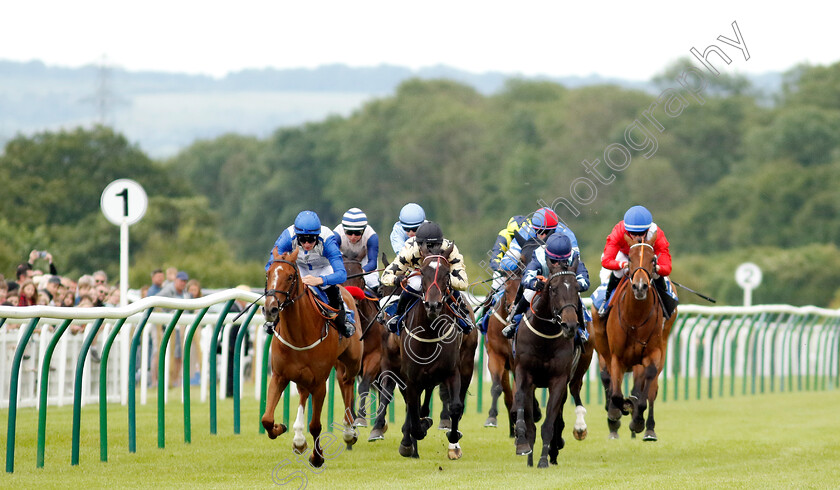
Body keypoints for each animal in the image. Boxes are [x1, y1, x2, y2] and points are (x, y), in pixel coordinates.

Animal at [260, 249, 362, 468]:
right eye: (268, 273)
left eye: (290, 276)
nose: (270, 309)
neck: (299, 334)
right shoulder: (279, 376)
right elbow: (267, 419)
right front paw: (281, 428)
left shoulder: (319, 382)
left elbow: (315, 425)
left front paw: (317, 457)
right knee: (303, 393)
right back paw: (298, 438)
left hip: (352, 361)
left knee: (347, 384)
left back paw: (349, 431)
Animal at [508, 256, 588, 468]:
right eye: (553, 288)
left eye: (576, 288)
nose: (570, 325)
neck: (544, 336)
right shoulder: (524, 373)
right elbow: (522, 407)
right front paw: (523, 445)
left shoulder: (558, 379)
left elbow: (550, 421)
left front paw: (543, 459)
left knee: (559, 415)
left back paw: (555, 449)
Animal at [592, 232, 676, 442]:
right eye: (629, 259)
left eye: (653, 260)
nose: (639, 287)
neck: (635, 318)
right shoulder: (616, 357)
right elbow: (615, 393)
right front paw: (616, 413)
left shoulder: (652, 354)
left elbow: (644, 392)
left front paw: (637, 420)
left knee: (650, 390)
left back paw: (649, 430)